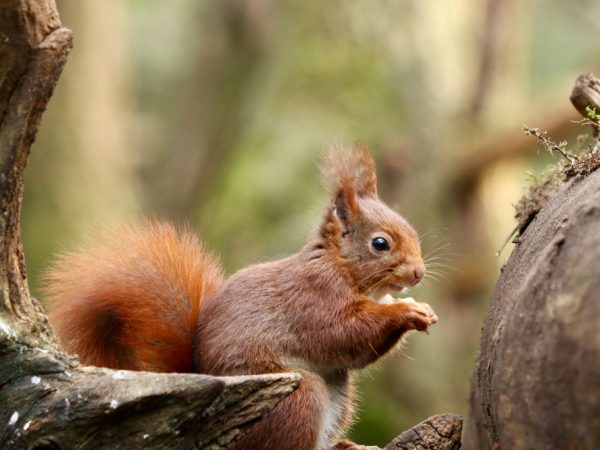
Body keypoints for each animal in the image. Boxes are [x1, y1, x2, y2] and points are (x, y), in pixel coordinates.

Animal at [45, 145, 436, 450]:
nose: (418, 273)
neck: (341, 268)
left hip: (338, 396)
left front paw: (420, 309)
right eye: (380, 243)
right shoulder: (312, 298)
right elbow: (342, 333)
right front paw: (406, 313)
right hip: (297, 397)